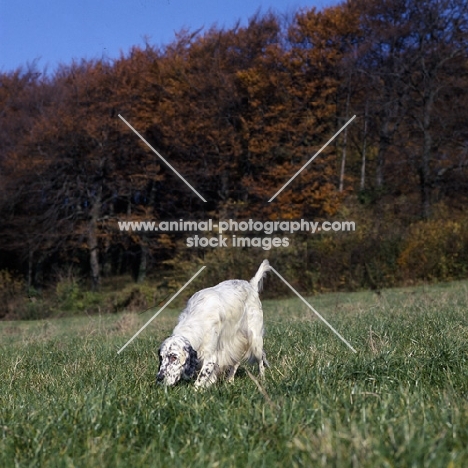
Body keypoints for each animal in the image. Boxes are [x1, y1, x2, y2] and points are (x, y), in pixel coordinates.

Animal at [157, 260, 270, 388]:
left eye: (173, 357)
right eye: (161, 357)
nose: (159, 378)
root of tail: (251, 286)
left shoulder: (210, 357)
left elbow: (200, 379)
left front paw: (195, 390)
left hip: (255, 340)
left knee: (261, 359)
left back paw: (262, 379)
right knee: (236, 361)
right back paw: (229, 380)